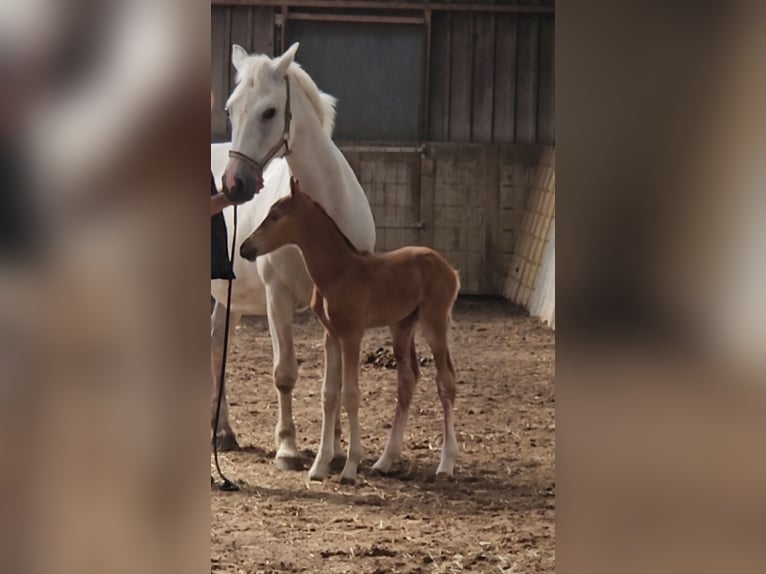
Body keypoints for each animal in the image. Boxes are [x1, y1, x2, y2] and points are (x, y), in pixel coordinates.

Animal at [210, 44, 378, 476]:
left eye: (270, 112)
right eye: (231, 109)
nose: (235, 184)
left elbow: (336, 381)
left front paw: (336, 450)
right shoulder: (278, 299)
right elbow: (284, 373)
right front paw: (287, 448)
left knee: (218, 342)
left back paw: (223, 432)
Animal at [242, 178, 462, 484]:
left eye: (275, 216)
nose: (245, 248)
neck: (339, 272)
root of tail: (449, 268)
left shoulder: (352, 335)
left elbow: (350, 395)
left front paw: (349, 467)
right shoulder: (331, 336)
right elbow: (329, 395)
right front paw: (319, 466)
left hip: (435, 322)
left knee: (445, 381)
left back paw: (446, 464)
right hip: (401, 325)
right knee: (407, 380)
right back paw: (384, 461)